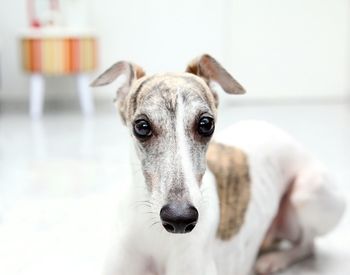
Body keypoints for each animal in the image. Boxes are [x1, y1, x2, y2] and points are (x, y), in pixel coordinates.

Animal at [90, 54, 344, 275]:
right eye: (141, 127)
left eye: (206, 124)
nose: (179, 219)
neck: (155, 233)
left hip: (308, 190)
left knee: (308, 244)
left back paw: (275, 260)